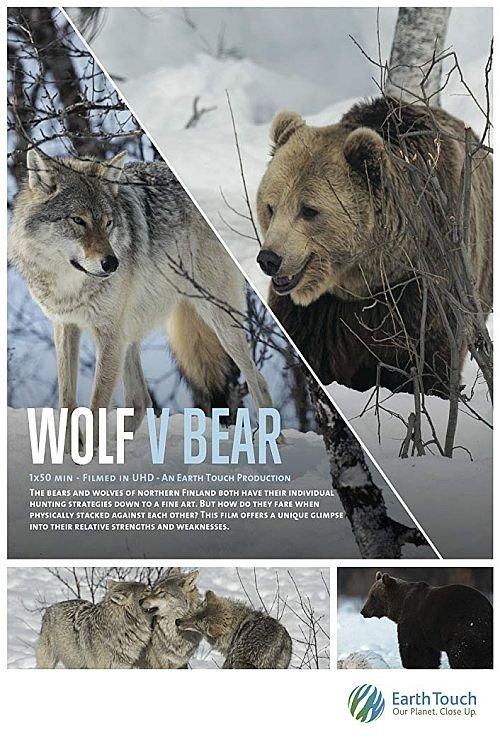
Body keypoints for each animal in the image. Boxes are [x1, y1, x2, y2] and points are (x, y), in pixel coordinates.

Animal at [9, 150, 272, 442]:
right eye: (78, 220)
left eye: (108, 223)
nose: (112, 264)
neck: (70, 287)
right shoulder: (66, 325)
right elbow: (67, 402)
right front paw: (68, 451)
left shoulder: (108, 335)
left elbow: (97, 406)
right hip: (131, 335)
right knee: (140, 401)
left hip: (218, 320)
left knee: (258, 381)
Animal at [256, 97, 492, 395]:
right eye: (270, 206)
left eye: (308, 210)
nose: (269, 258)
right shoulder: (318, 315)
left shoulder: (422, 288)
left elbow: (427, 359)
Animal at [360, 571, 493, 669]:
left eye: (372, 596)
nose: (363, 611)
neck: (399, 606)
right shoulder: (426, 634)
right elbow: (430, 655)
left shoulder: (412, 621)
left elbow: (412, 649)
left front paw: (412, 665)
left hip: (463, 627)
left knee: (459, 655)